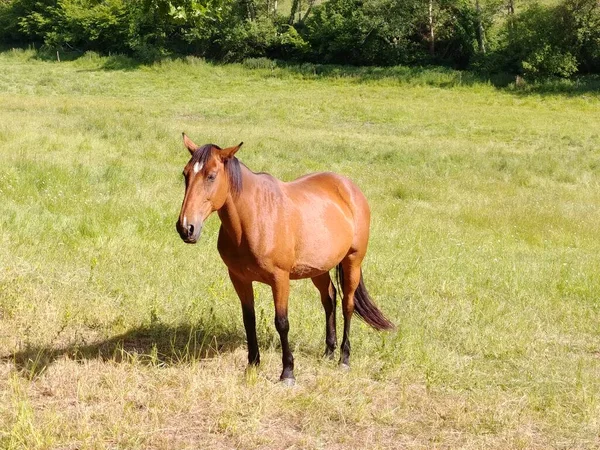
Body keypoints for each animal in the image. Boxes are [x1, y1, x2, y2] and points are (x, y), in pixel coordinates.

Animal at [177, 133, 394, 384]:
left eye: (211, 176)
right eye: (185, 174)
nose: (186, 228)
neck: (254, 218)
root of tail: (349, 187)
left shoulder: (279, 279)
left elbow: (282, 323)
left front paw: (288, 372)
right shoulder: (239, 279)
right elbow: (249, 319)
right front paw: (252, 365)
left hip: (352, 261)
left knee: (347, 305)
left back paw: (344, 358)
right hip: (318, 267)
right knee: (329, 299)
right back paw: (328, 352)